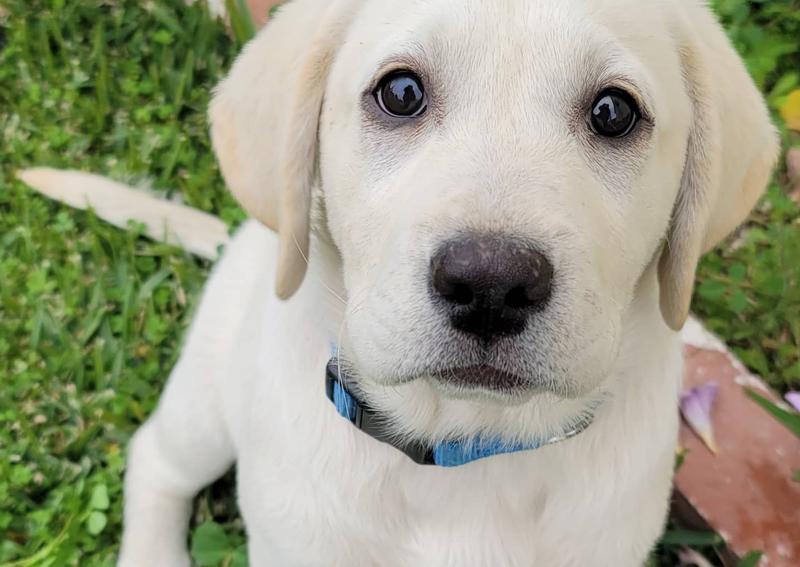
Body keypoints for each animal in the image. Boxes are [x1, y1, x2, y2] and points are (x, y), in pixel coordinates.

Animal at [23, 0, 780, 564]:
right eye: (401, 92)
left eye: (614, 112)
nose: (490, 285)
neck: (466, 451)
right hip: (206, 401)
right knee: (155, 459)